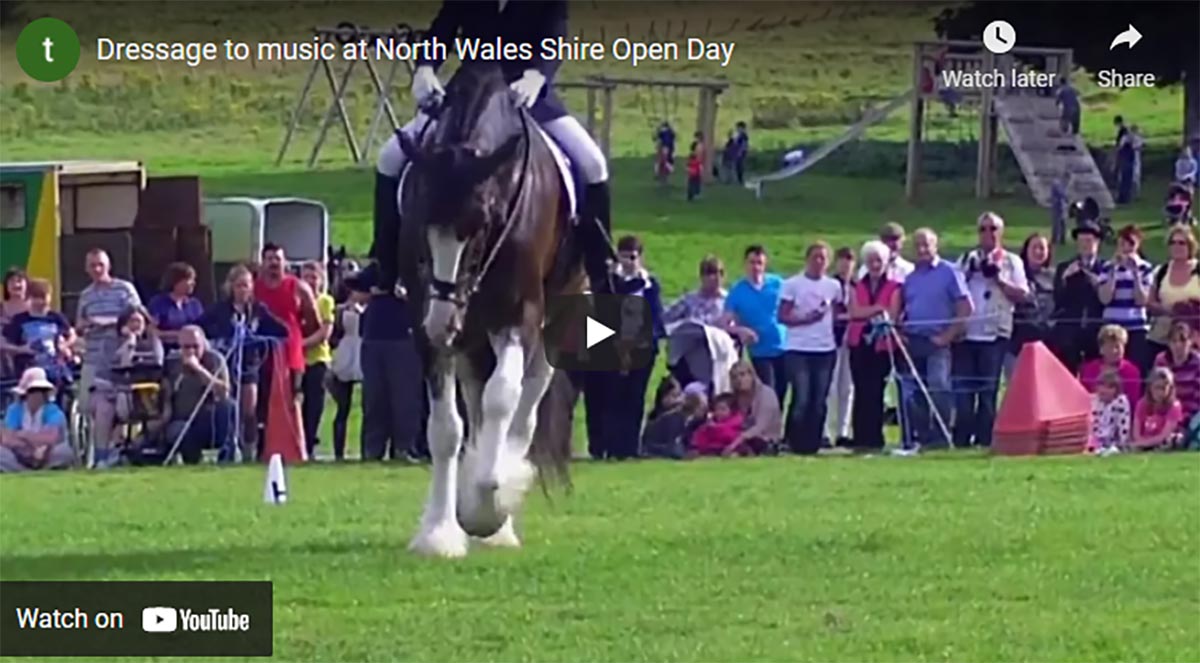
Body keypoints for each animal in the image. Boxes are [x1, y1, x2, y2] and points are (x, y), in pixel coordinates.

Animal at [396, 63, 578, 559]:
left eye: (480, 226)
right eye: (421, 223)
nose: (443, 323)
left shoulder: (519, 317)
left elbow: (503, 398)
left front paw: (486, 511)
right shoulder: (425, 322)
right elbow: (446, 429)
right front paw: (439, 532)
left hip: (548, 327)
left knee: (523, 408)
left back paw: (501, 505)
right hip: (471, 337)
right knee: (477, 408)